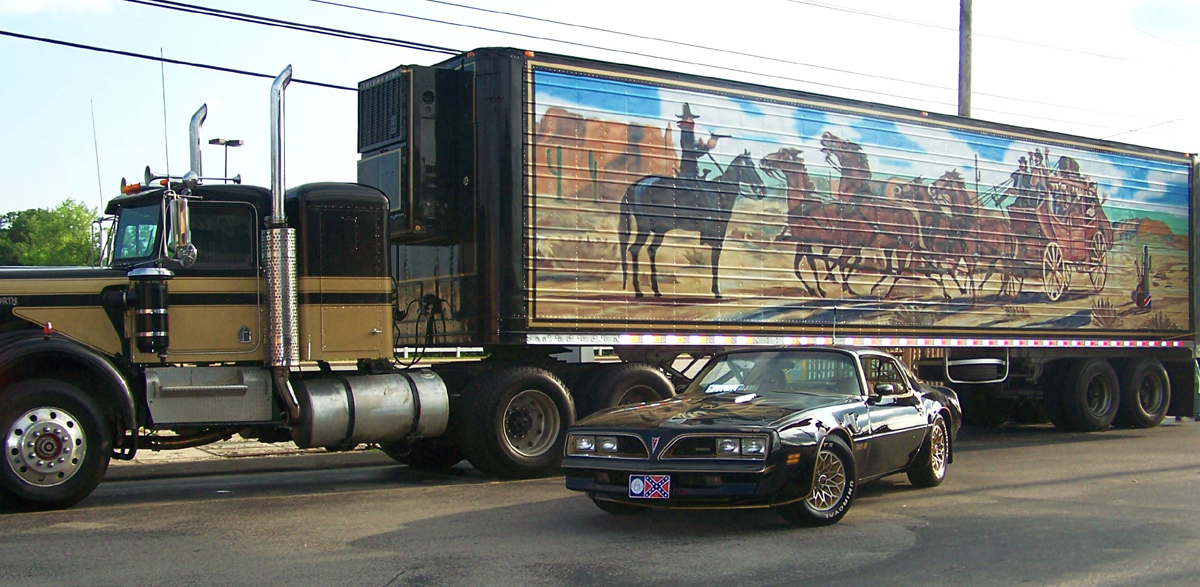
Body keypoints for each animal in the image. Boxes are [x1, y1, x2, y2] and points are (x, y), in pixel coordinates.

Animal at [619, 151, 768, 297]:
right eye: (749, 166)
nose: (762, 190)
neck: (719, 193)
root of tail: (637, 185)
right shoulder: (719, 231)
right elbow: (715, 257)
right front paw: (716, 291)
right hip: (645, 228)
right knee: (634, 250)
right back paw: (638, 291)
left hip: (659, 230)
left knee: (650, 250)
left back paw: (656, 290)